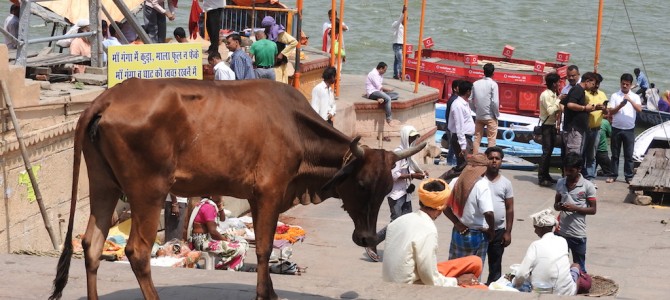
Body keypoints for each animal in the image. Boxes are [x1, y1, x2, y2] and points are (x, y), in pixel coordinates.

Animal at [50, 78, 426, 300]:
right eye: (361, 184)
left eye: (386, 188)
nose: (367, 238)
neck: (297, 130)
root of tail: (106, 99)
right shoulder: (271, 192)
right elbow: (264, 249)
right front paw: (265, 295)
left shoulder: (258, 197)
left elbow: (263, 247)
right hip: (148, 191)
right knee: (137, 252)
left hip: (104, 186)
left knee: (91, 245)